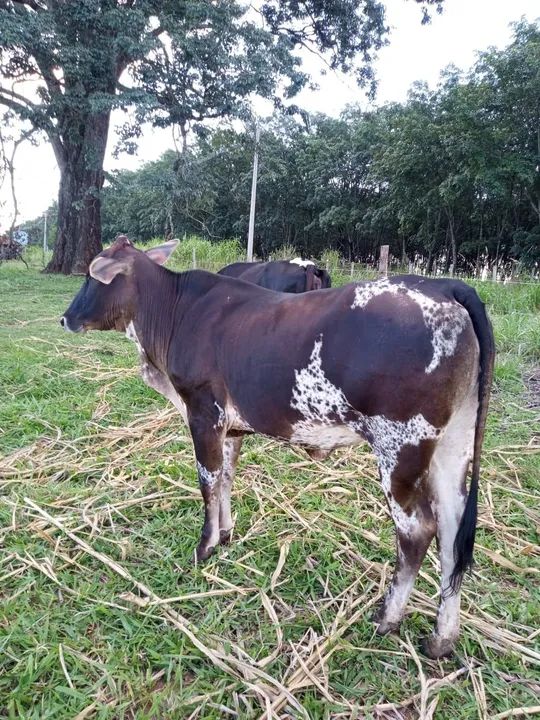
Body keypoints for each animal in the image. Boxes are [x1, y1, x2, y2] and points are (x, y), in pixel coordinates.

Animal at [61, 236, 494, 659]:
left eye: (91, 276)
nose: (65, 318)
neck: (175, 310)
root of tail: (445, 286)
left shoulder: (203, 414)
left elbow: (208, 482)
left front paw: (204, 547)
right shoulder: (230, 428)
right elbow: (226, 479)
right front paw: (225, 533)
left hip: (400, 449)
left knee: (417, 531)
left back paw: (387, 618)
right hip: (452, 445)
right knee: (452, 533)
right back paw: (442, 638)